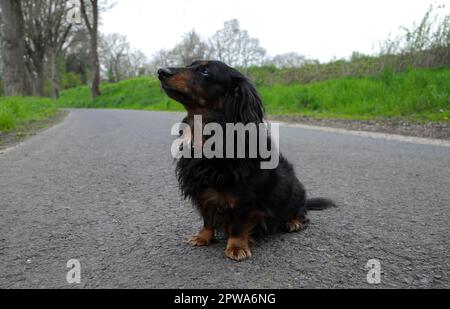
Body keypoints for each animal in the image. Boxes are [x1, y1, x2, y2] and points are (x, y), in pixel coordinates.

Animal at [158, 61, 334, 262]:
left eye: (205, 71)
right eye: (189, 64)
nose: (161, 71)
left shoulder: (245, 200)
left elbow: (238, 225)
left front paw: (236, 247)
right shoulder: (202, 191)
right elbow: (207, 218)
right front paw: (203, 237)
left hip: (295, 190)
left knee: (301, 212)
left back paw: (293, 222)